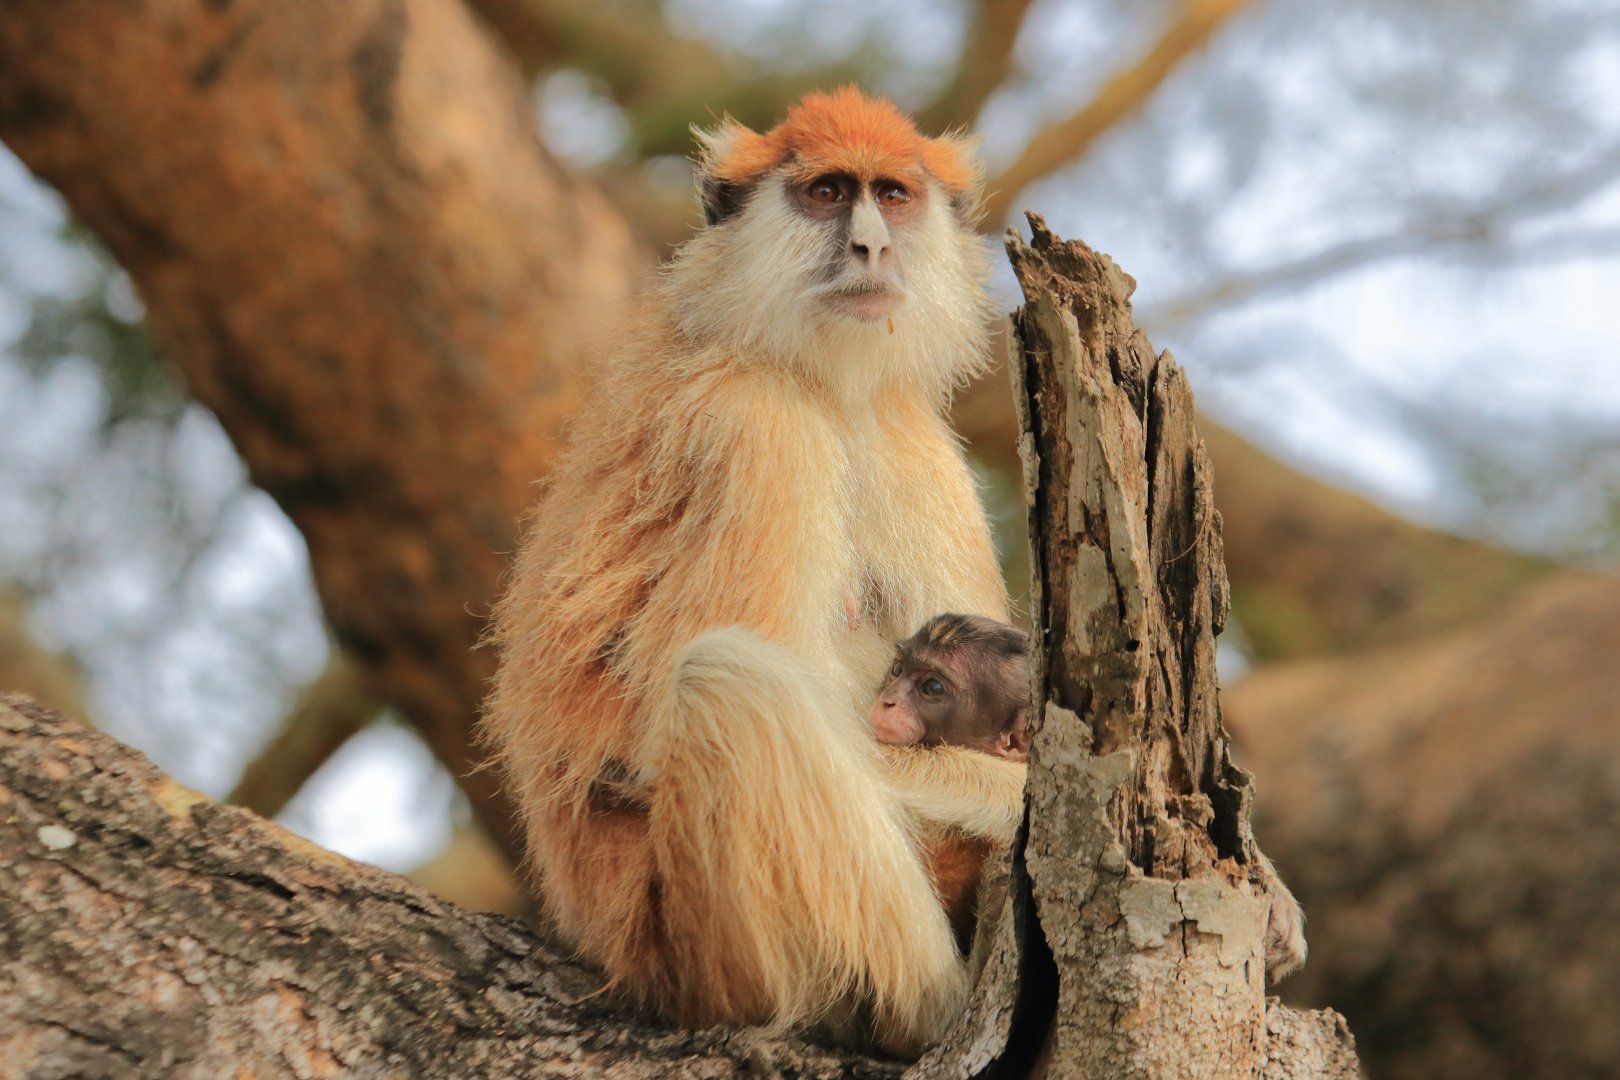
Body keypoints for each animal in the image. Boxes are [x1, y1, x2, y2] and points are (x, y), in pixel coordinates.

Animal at [482, 88, 1018, 1057]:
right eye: (827, 192)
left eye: (892, 194)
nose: (871, 246)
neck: (810, 373)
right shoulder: (755, 426)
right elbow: (655, 739)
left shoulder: (908, 437)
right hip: (693, 938)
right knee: (728, 679)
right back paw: (926, 1005)